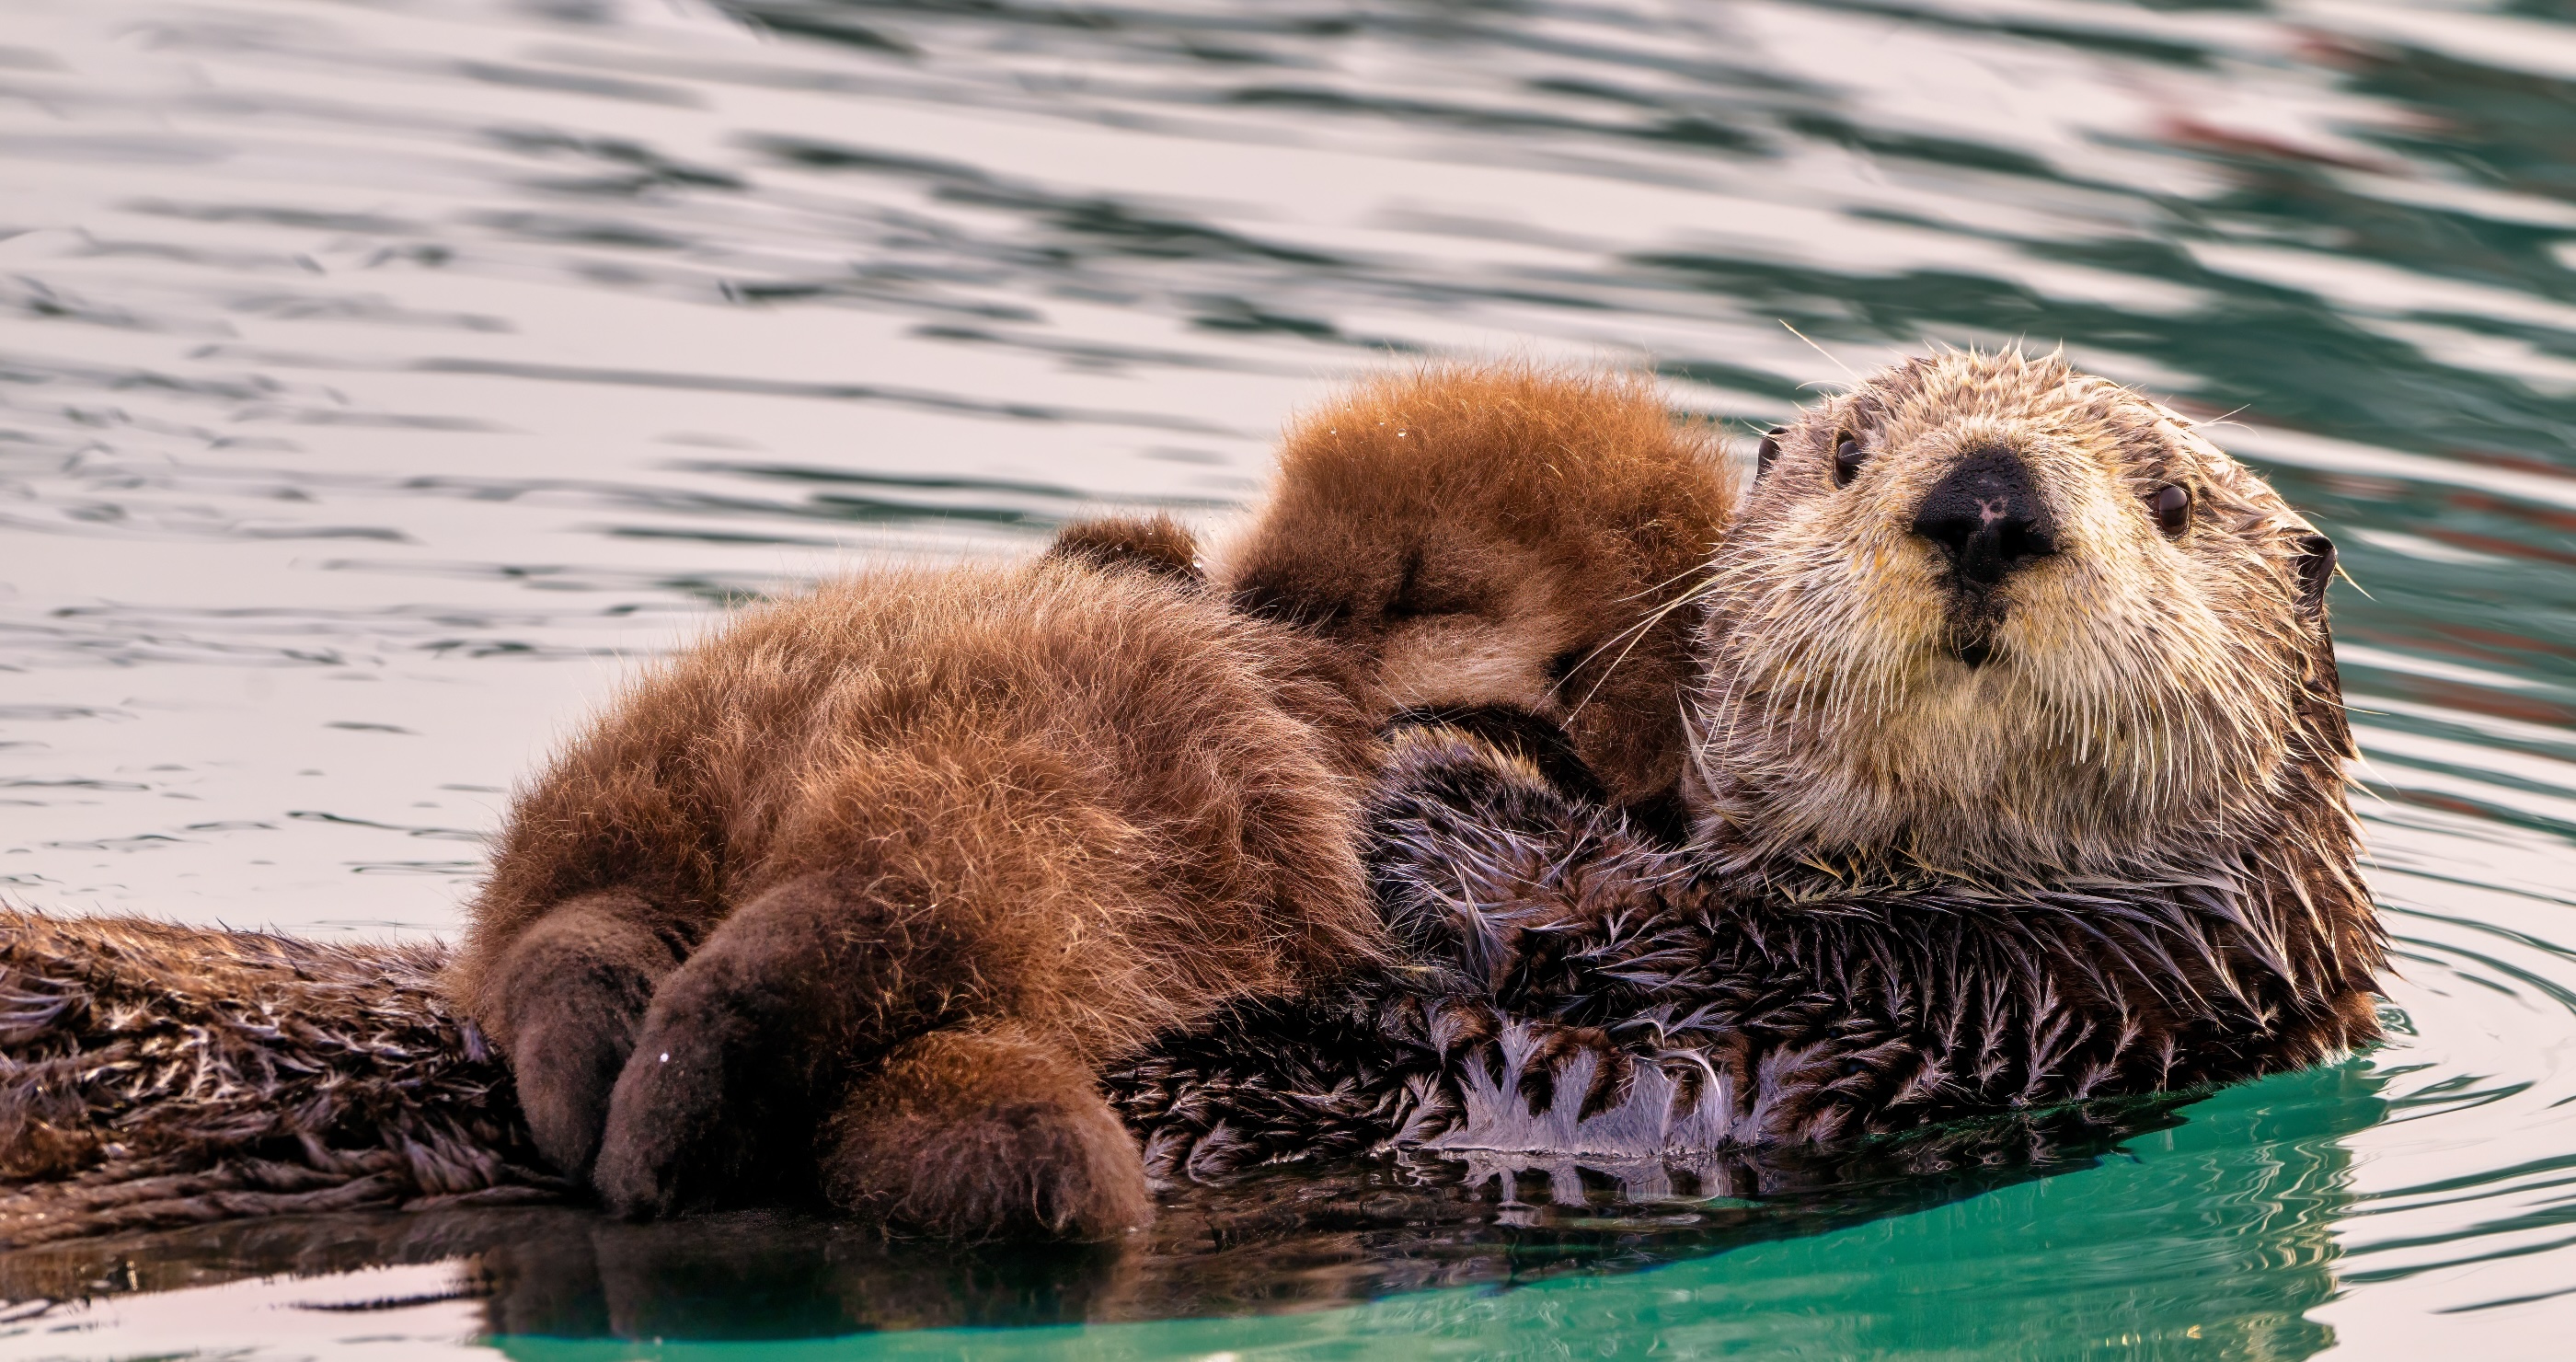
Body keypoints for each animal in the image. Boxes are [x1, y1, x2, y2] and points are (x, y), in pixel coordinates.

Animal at [446, 362, 1732, 1240]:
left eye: (1424, 588)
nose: (1256, 598)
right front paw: (1138, 556)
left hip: (995, 841)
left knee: (818, 942)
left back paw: (635, 1106)